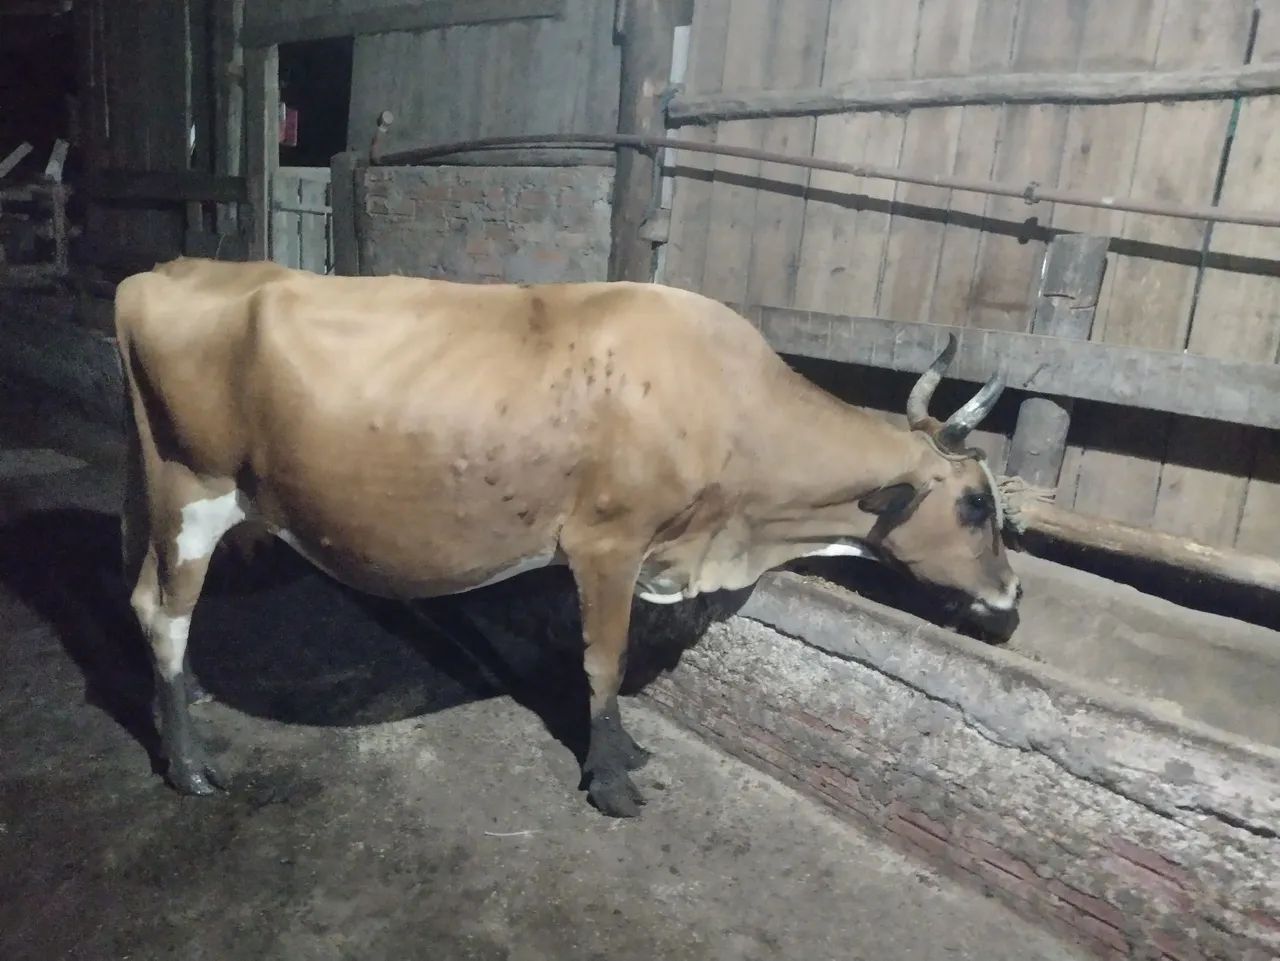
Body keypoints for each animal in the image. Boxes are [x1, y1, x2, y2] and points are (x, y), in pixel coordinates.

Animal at [115, 257, 1019, 818]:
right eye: (977, 503)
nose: (1011, 596)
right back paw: (189, 763)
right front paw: (612, 776)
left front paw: (629, 753)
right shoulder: (607, 543)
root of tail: (161, 273)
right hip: (192, 490)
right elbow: (604, 661)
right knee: (163, 610)